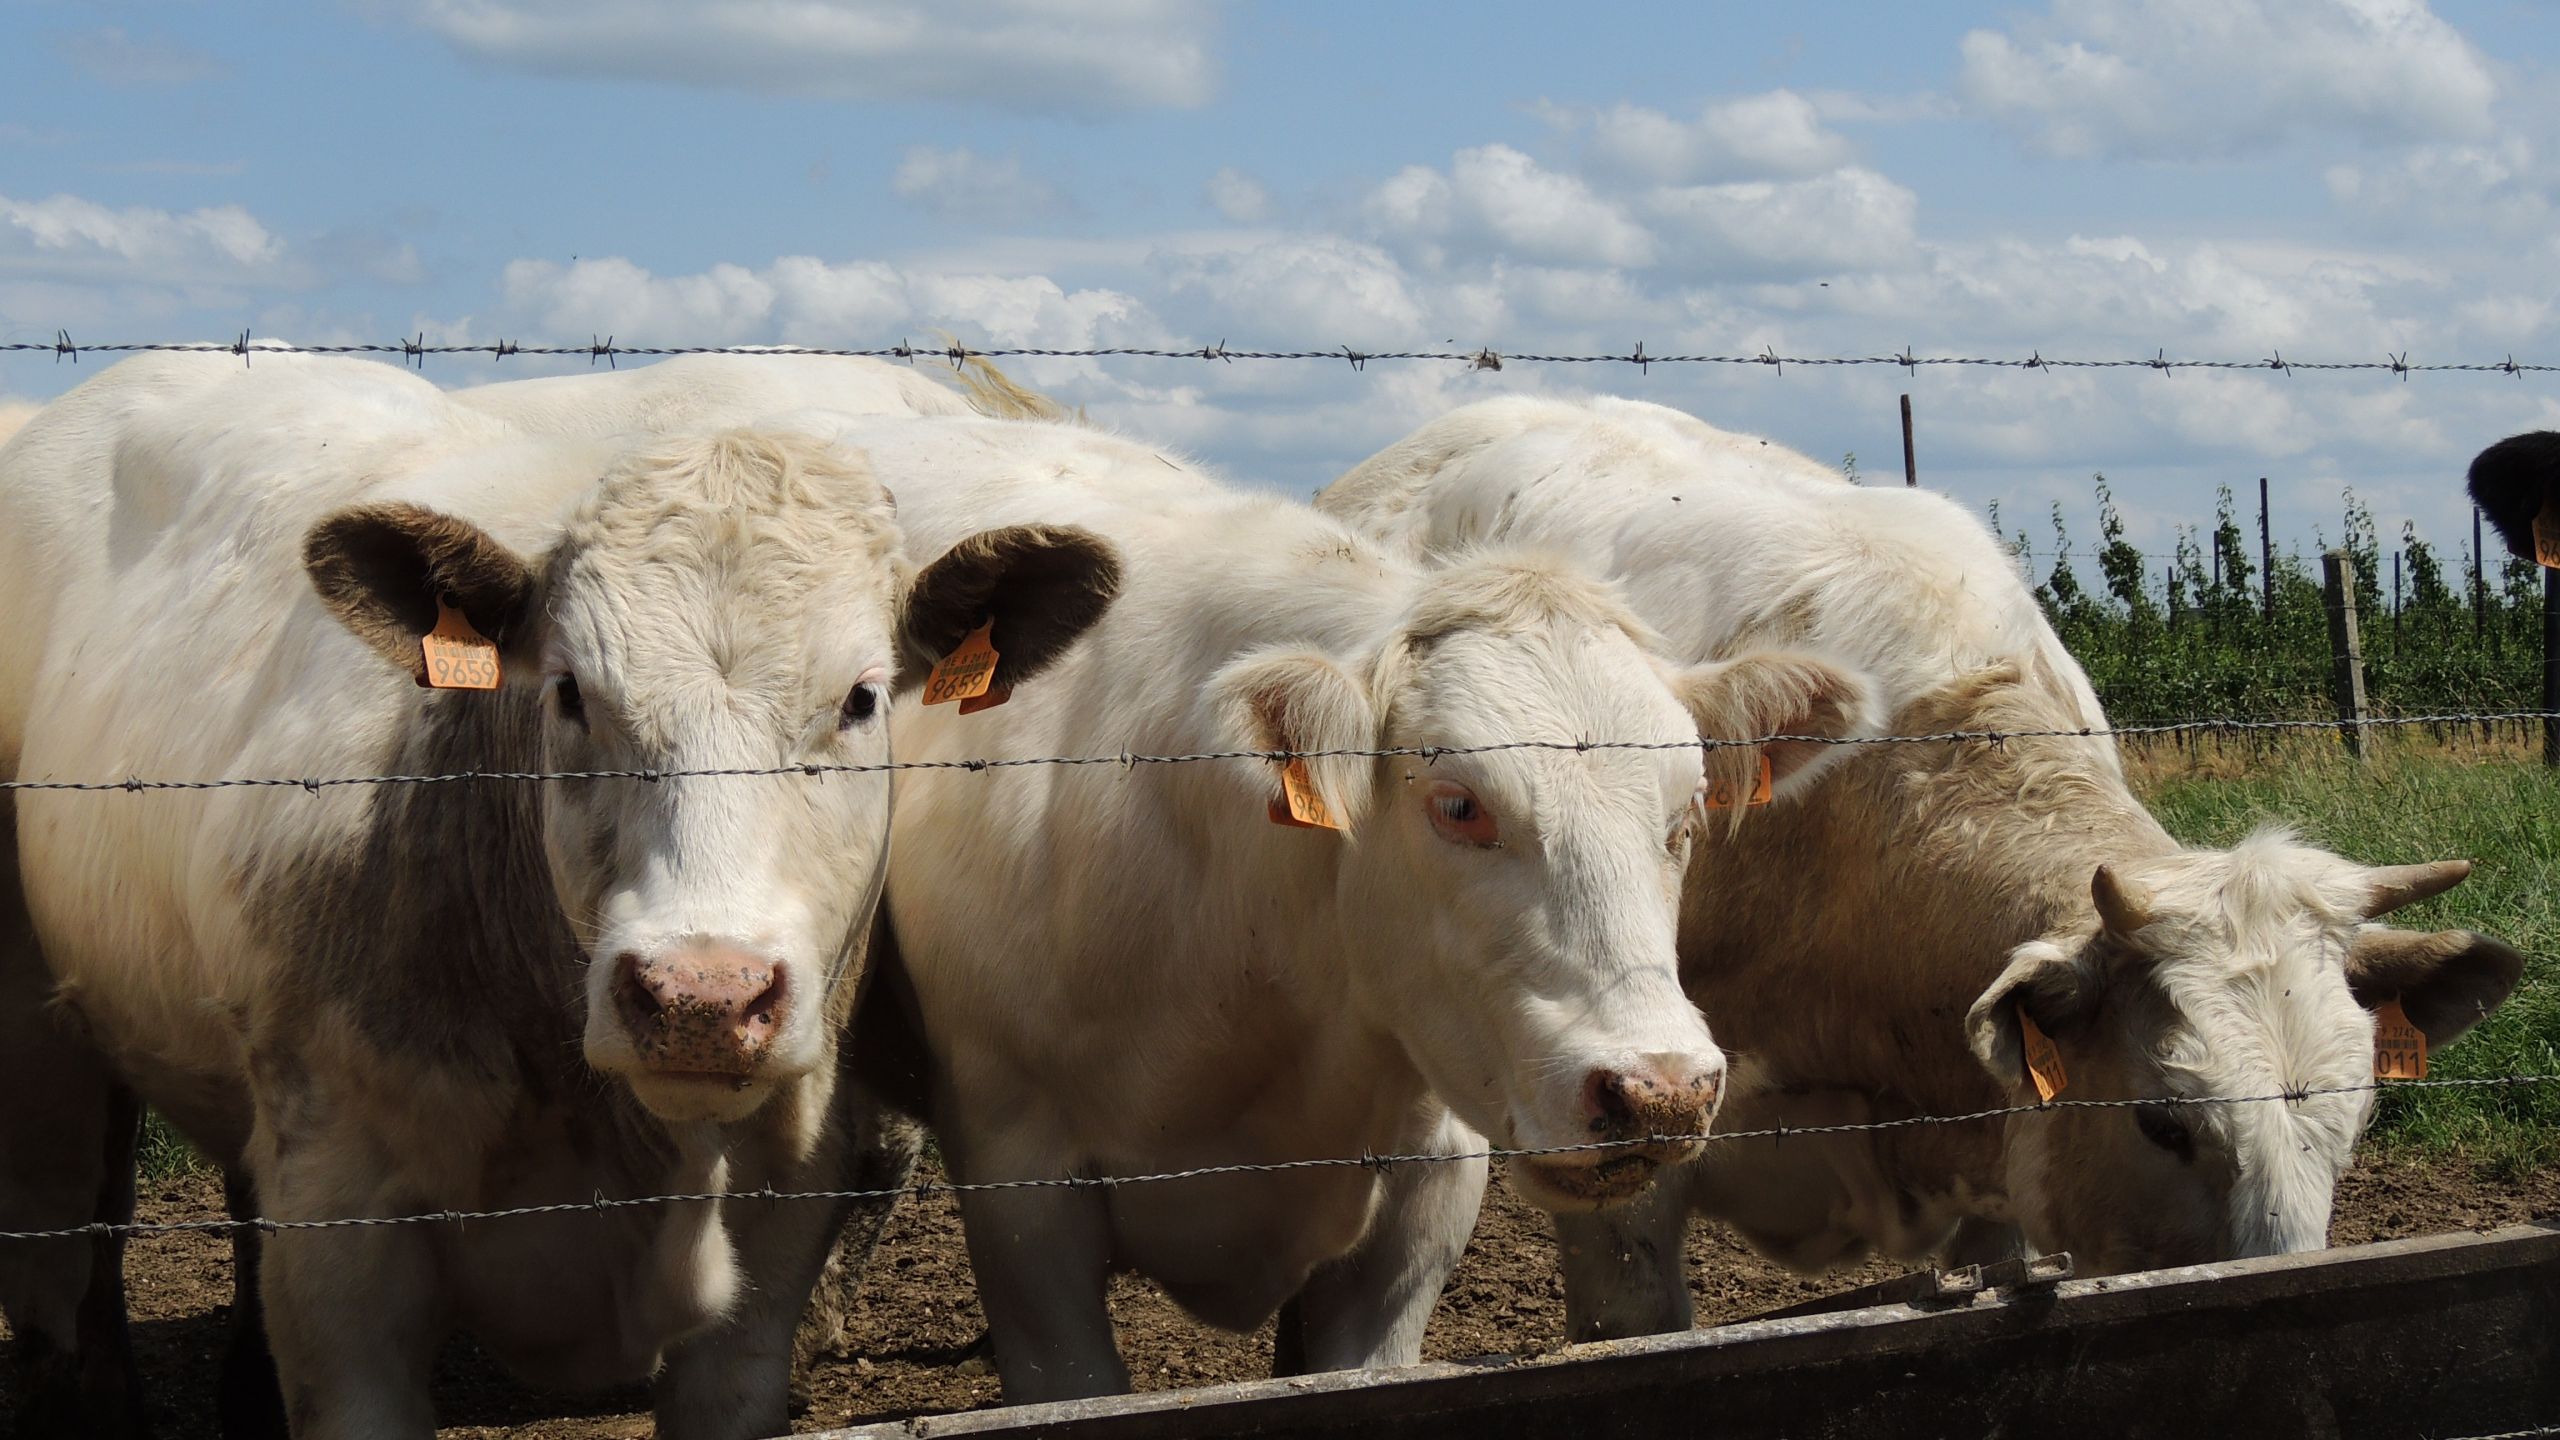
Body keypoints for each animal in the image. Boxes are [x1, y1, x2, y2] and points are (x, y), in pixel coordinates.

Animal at [0, 351, 1121, 1434]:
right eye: (571, 692)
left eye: (861, 698)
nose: (701, 998)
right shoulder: (339, 1250)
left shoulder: (778, 1221)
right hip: (47, 1049)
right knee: (65, 1236)